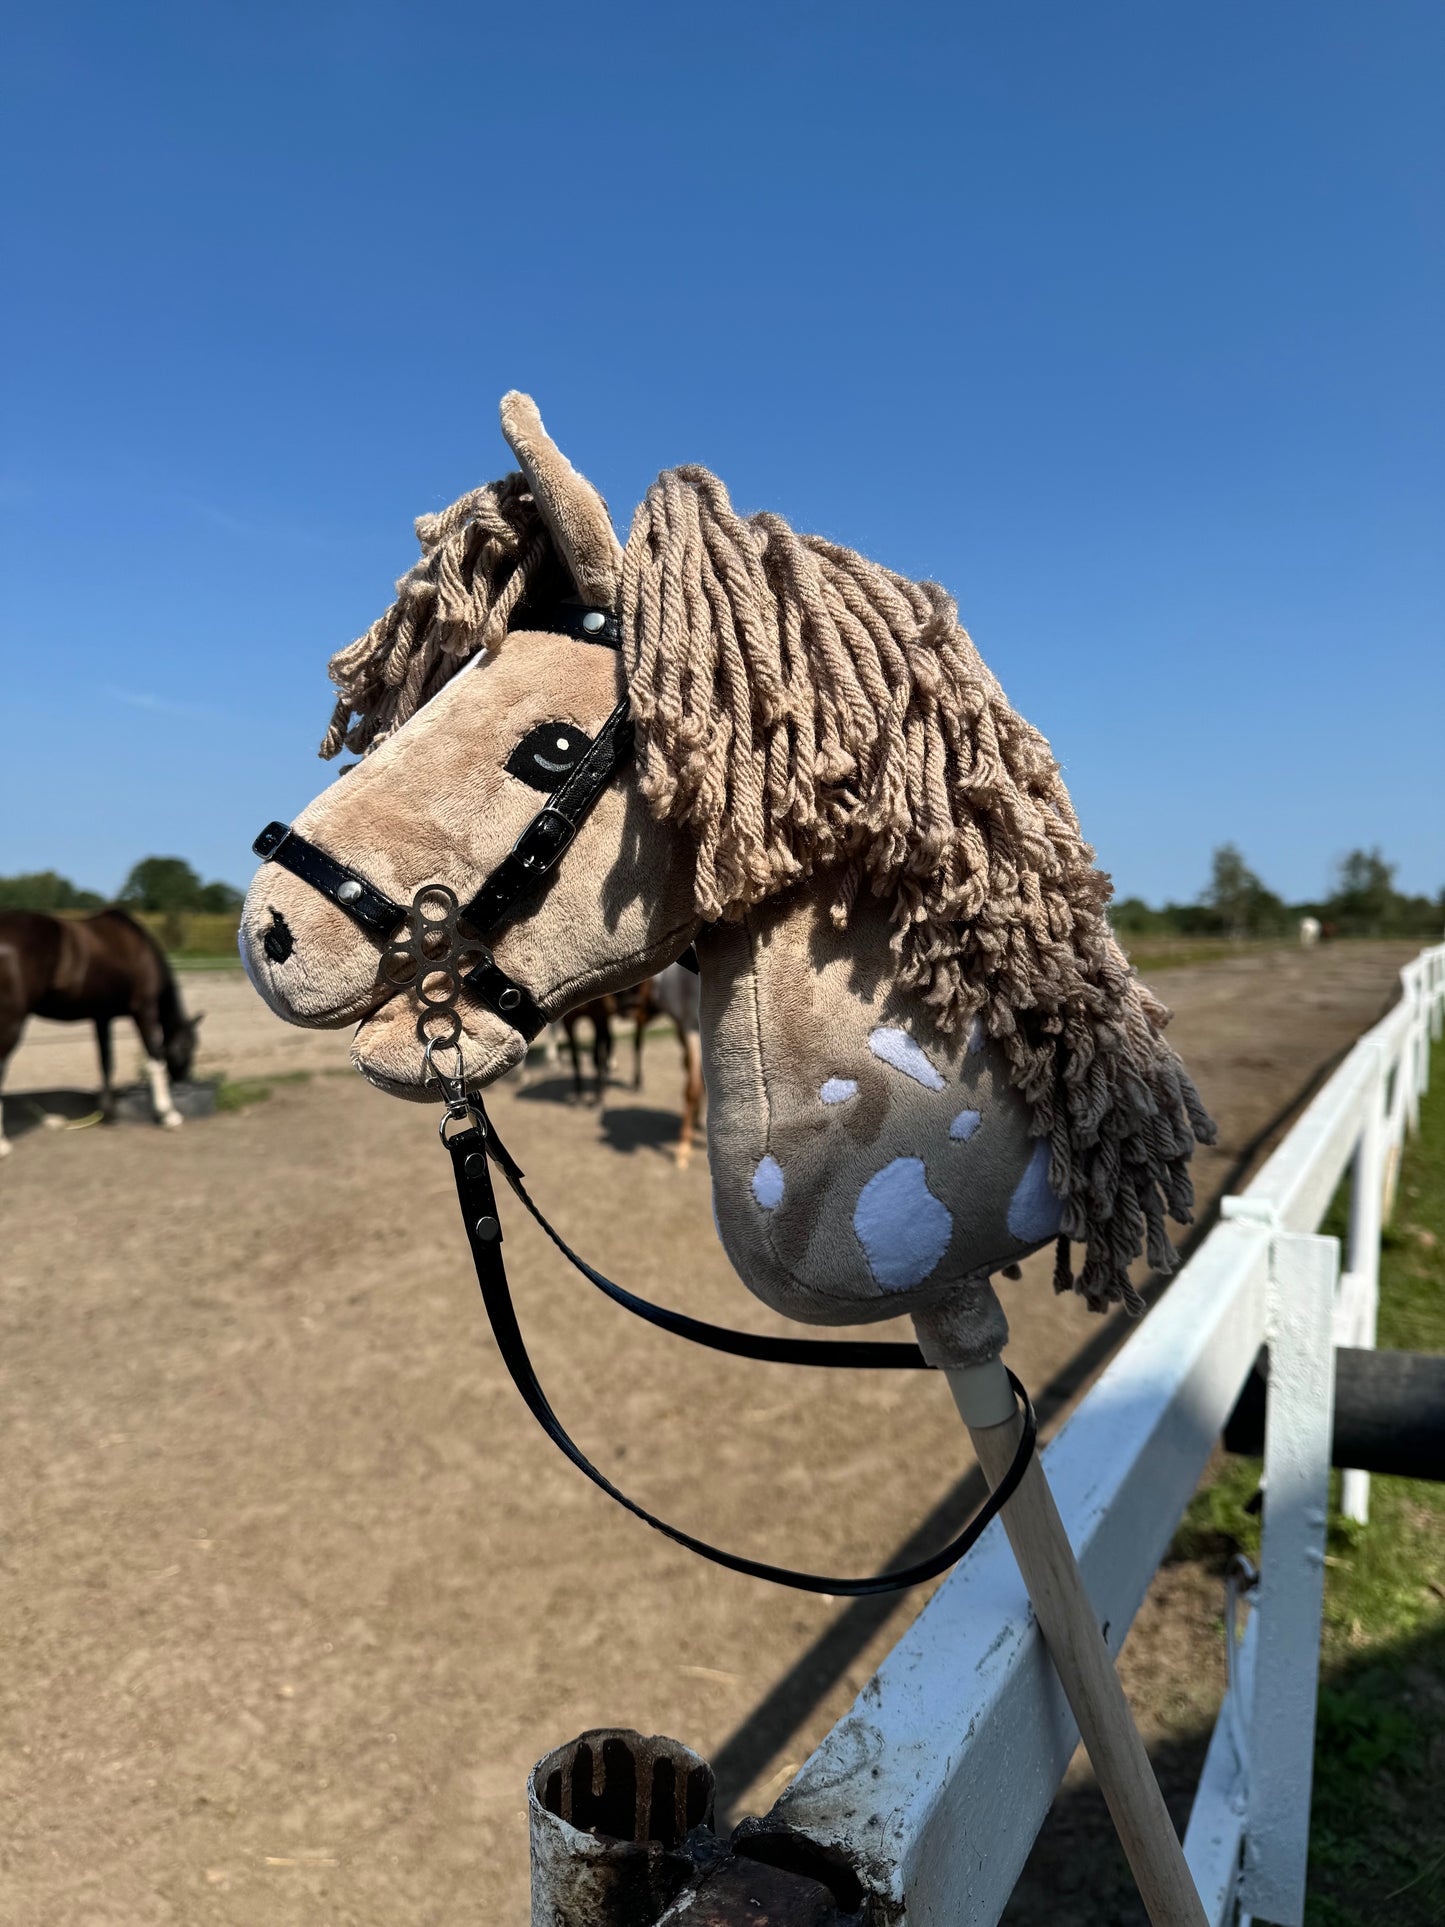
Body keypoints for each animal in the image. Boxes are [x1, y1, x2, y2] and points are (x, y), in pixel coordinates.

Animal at [0, 908, 202, 1153]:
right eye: (188, 1046)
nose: (184, 1081)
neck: (140, 949)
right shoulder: (145, 1012)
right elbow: (155, 1060)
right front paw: (168, 1115)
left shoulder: (102, 1017)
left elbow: (106, 1062)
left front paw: (108, 1113)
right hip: (11, 1023)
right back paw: (3, 1144)